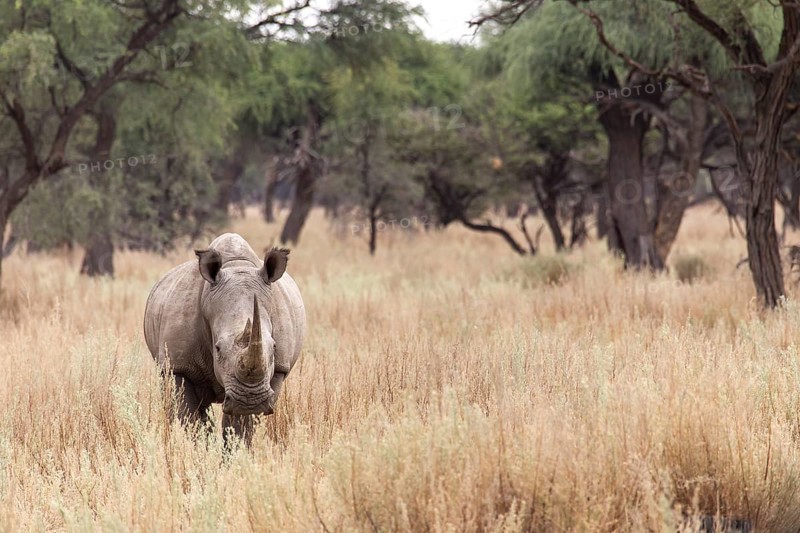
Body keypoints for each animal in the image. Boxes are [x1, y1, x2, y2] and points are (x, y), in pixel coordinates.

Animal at [143, 233, 305, 446]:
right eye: (218, 348)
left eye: (274, 347)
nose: (250, 400)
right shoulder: (178, 366)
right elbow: (189, 418)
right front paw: (199, 450)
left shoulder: (278, 368)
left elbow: (240, 426)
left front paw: (237, 451)